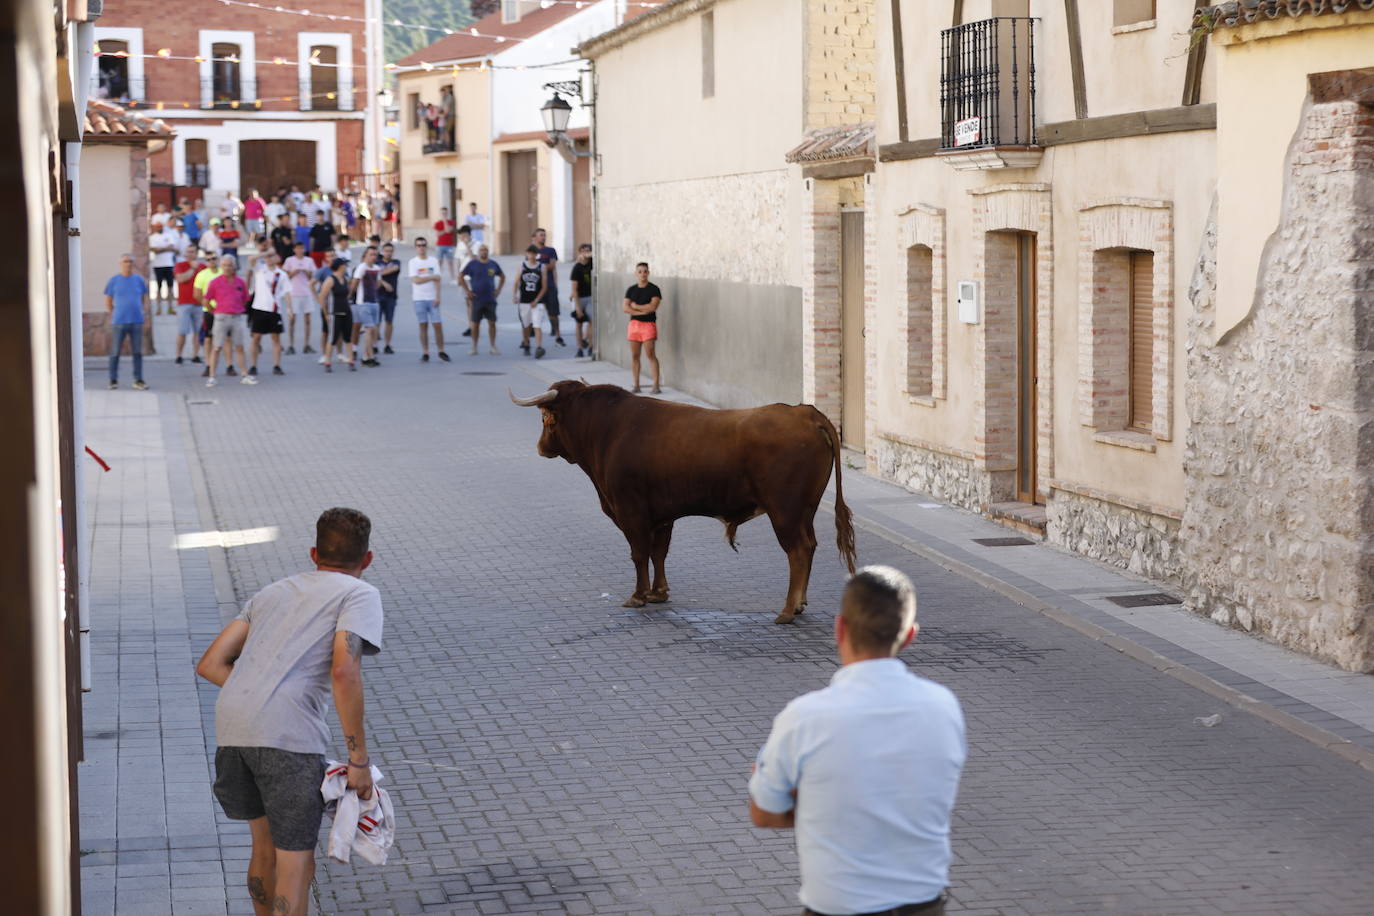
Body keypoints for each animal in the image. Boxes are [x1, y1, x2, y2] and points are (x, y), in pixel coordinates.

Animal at [511, 379, 851, 623]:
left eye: (546, 418)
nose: (540, 447)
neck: (606, 429)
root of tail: (803, 412)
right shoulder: (662, 515)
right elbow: (659, 552)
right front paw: (658, 592)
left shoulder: (630, 511)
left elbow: (639, 553)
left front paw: (638, 596)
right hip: (805, 511)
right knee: (809, 547)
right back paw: (799, 604)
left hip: (785, 513)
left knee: (798, 551)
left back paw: (787, 610)